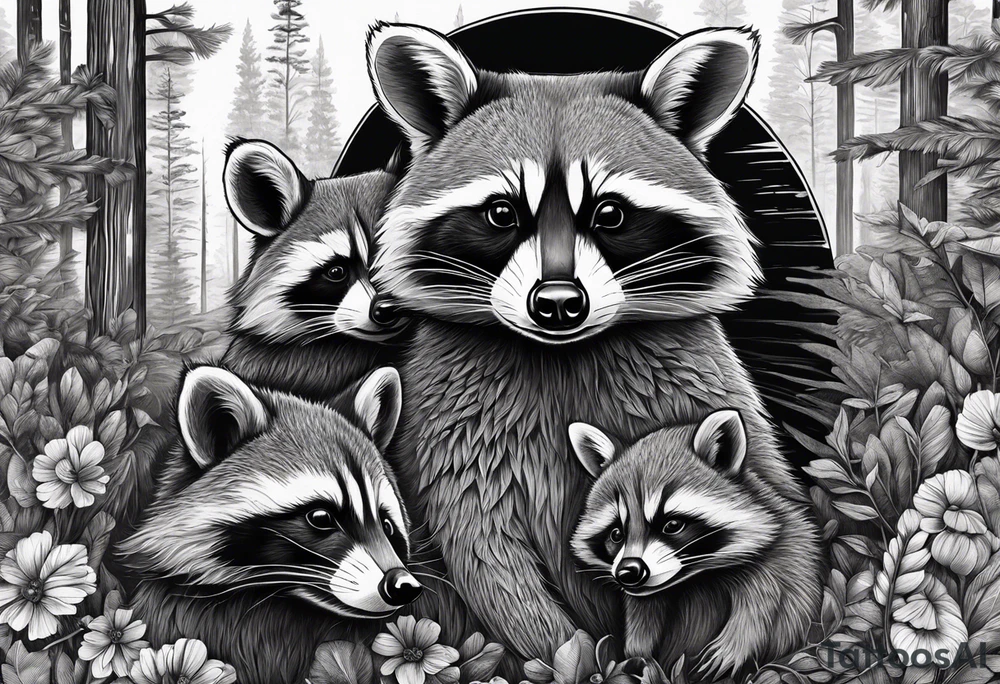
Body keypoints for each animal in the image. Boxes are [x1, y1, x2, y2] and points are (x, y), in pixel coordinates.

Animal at [365, 23, 812, 660]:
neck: (561, 352)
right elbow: (483, 548)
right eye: (501, 212)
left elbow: (765, 508)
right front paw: (563, 651)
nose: (556, 304)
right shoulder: (453, 423)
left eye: (610, 213)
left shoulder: (697, 379)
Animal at [569, 410, 823, 680]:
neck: (696, 578)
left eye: (672, 525)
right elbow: (642, 622)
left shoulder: (782, 555)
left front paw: (736, 643)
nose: (629, 571)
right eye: (616, 534)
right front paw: (638, 654)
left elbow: (765, 602)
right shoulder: (647, 598)